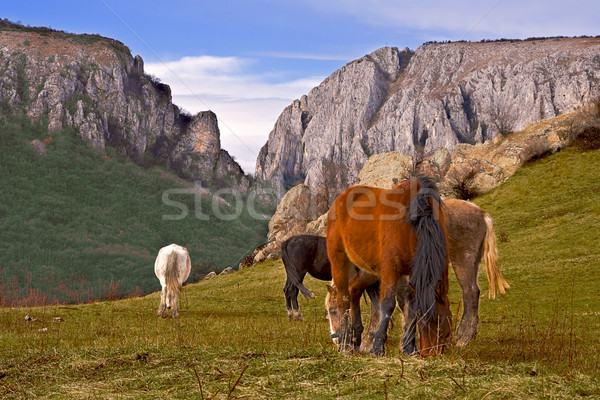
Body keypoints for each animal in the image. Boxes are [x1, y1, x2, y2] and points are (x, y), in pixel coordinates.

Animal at [326, 198, 508, 354]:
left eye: (333, 310)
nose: (337, 342)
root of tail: (479, 212)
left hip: (463, 260)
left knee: (470, 292)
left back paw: (464, 337)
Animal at [328, 177, 450, 358]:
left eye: (442, 321)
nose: (430, 354)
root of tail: (341, 197)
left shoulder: (411, 275)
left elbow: (409, 308)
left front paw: (409, 347)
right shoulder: (390, 270)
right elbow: (387, 304)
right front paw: (378, 347)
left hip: (365, 269)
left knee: (354, 291)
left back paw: (355, 338)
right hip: (340, 261)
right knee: (343, 297)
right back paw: (345, 343)